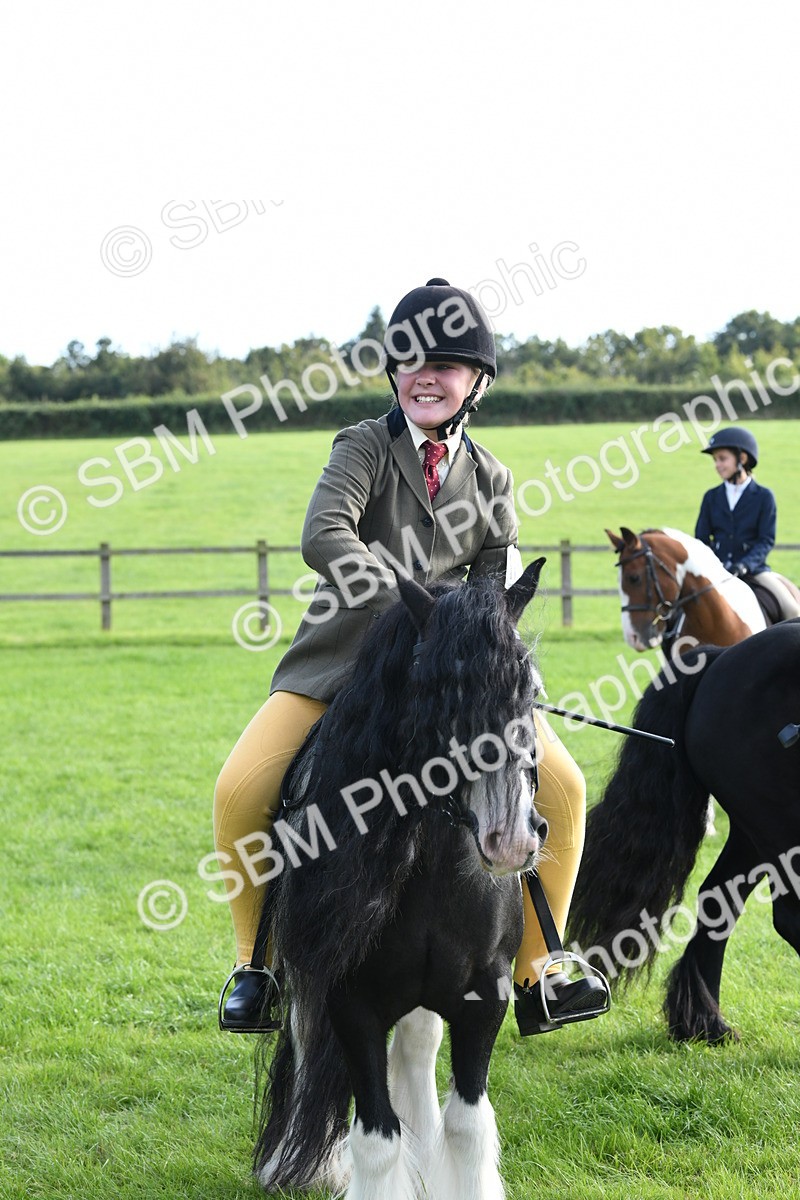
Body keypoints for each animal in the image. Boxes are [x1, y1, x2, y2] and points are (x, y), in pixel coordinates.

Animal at [252, 561, 549, 1200]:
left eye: (530, 688)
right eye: (437, 692)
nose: (511, 839)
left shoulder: (484, 994)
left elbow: (467, 1126)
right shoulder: (349, 1001)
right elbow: (376, 1138)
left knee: (416, 1046)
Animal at [568, 619, 800, 1044]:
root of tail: (722, 658)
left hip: (753, 831)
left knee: (718, 899)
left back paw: (705, 1022)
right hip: (777, 825)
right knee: (787, 916)